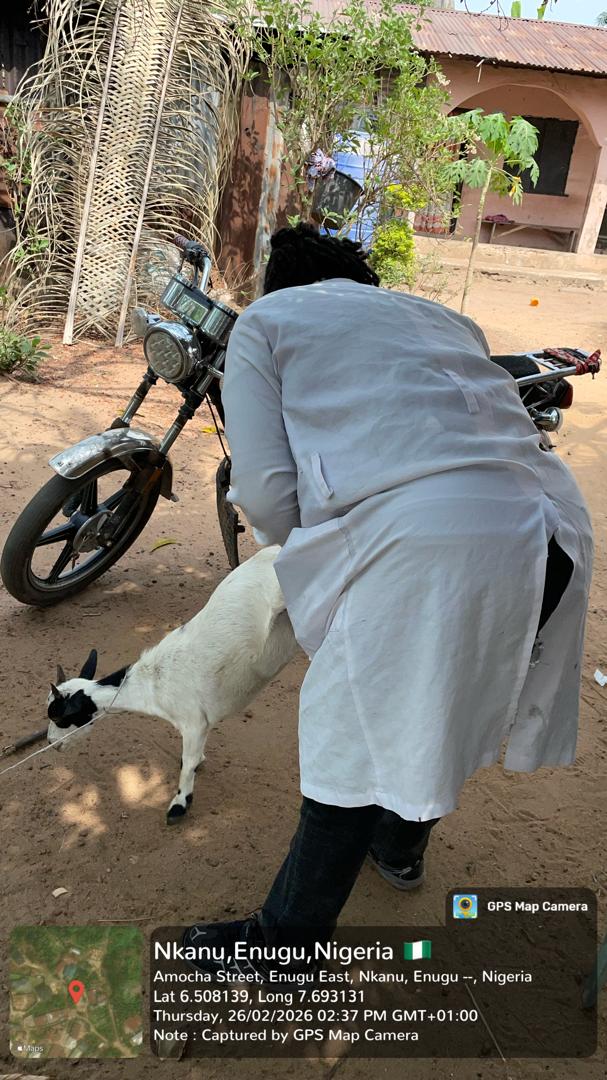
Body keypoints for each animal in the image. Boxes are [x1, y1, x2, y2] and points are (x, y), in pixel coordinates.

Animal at [47, 546, 298, 822]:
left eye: (58, 717)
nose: (50, 743)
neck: (151, 684)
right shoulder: (201, 724)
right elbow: (193, 758)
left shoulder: (193, 721)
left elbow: (187, 765)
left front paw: (180, 803)